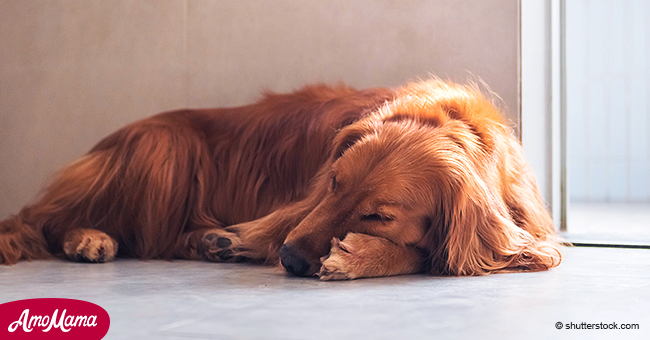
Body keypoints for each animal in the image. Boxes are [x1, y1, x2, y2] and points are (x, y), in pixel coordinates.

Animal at [0, 79, 556, 278]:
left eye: (379, 216)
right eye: (332, 183)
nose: (289, 259)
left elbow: (430, 250)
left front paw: (361, 255)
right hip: (163, 149)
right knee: (41, 219)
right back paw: (88, 238)